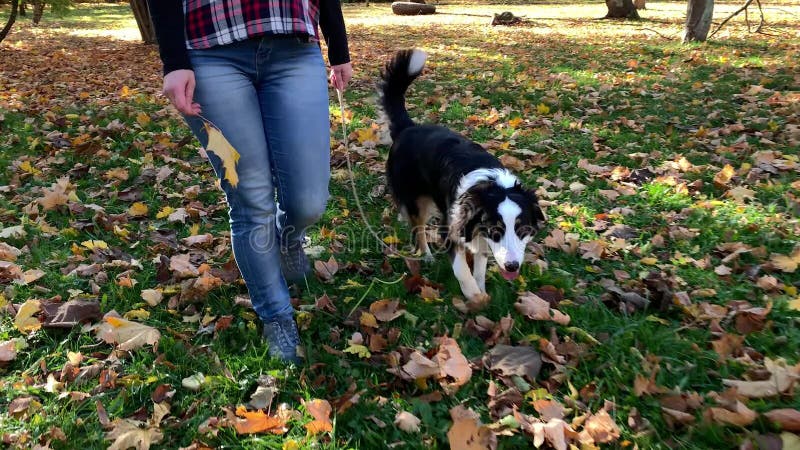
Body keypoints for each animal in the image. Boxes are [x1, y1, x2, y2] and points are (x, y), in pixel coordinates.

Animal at [380, 51, 544, 308]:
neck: (491, 187)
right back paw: (426, 255)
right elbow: (461, 269)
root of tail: (409, 128)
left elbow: (479, 266)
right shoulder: (451, 229)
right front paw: (473, 295)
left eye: (523, 229)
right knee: (418, 227)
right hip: (416, 199)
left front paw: (481, 289)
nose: (512, 267)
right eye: (496, 230)